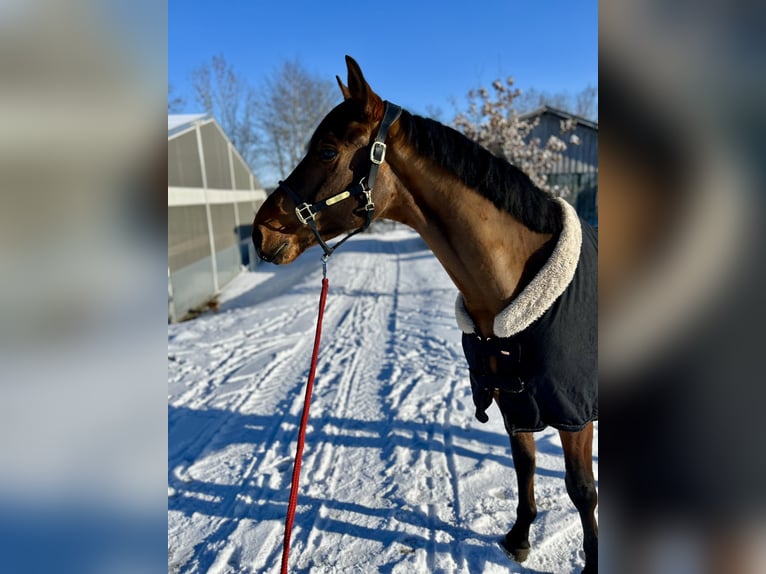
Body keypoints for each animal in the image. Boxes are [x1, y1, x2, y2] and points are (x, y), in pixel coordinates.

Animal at [253, 56, 598, 573]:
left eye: (328, 151)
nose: (260, 232)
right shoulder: (515, 399)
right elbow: (525, 464)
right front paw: (519, 537)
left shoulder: (576, 414)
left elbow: (581, 491)